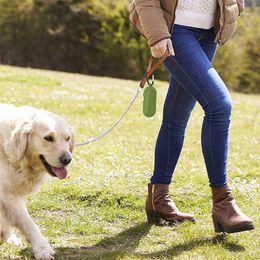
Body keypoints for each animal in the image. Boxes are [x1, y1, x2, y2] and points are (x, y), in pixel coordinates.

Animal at [0, 104, 74, 258]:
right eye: (48, 138)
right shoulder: (8, 195)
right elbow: (28, 223)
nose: (67, 160)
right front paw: (42, 248)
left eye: (67, 138)